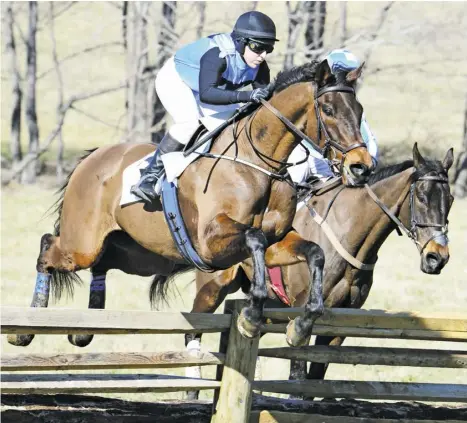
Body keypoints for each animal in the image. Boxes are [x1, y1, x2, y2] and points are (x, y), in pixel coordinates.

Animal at [7, 60, 374, 352]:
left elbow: (313, 252)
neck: (257, 163)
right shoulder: (212, 242)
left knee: (102, 263)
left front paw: (300, 326)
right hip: (82, 245)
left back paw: (84, 330)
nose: (361, 167)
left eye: (359, 112)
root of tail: (93, 156)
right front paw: (251, 315)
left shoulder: (275, 241)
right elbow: (254, 238)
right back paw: (27, 327)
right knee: (49, 247)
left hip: (136, 255)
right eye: (329, 111)